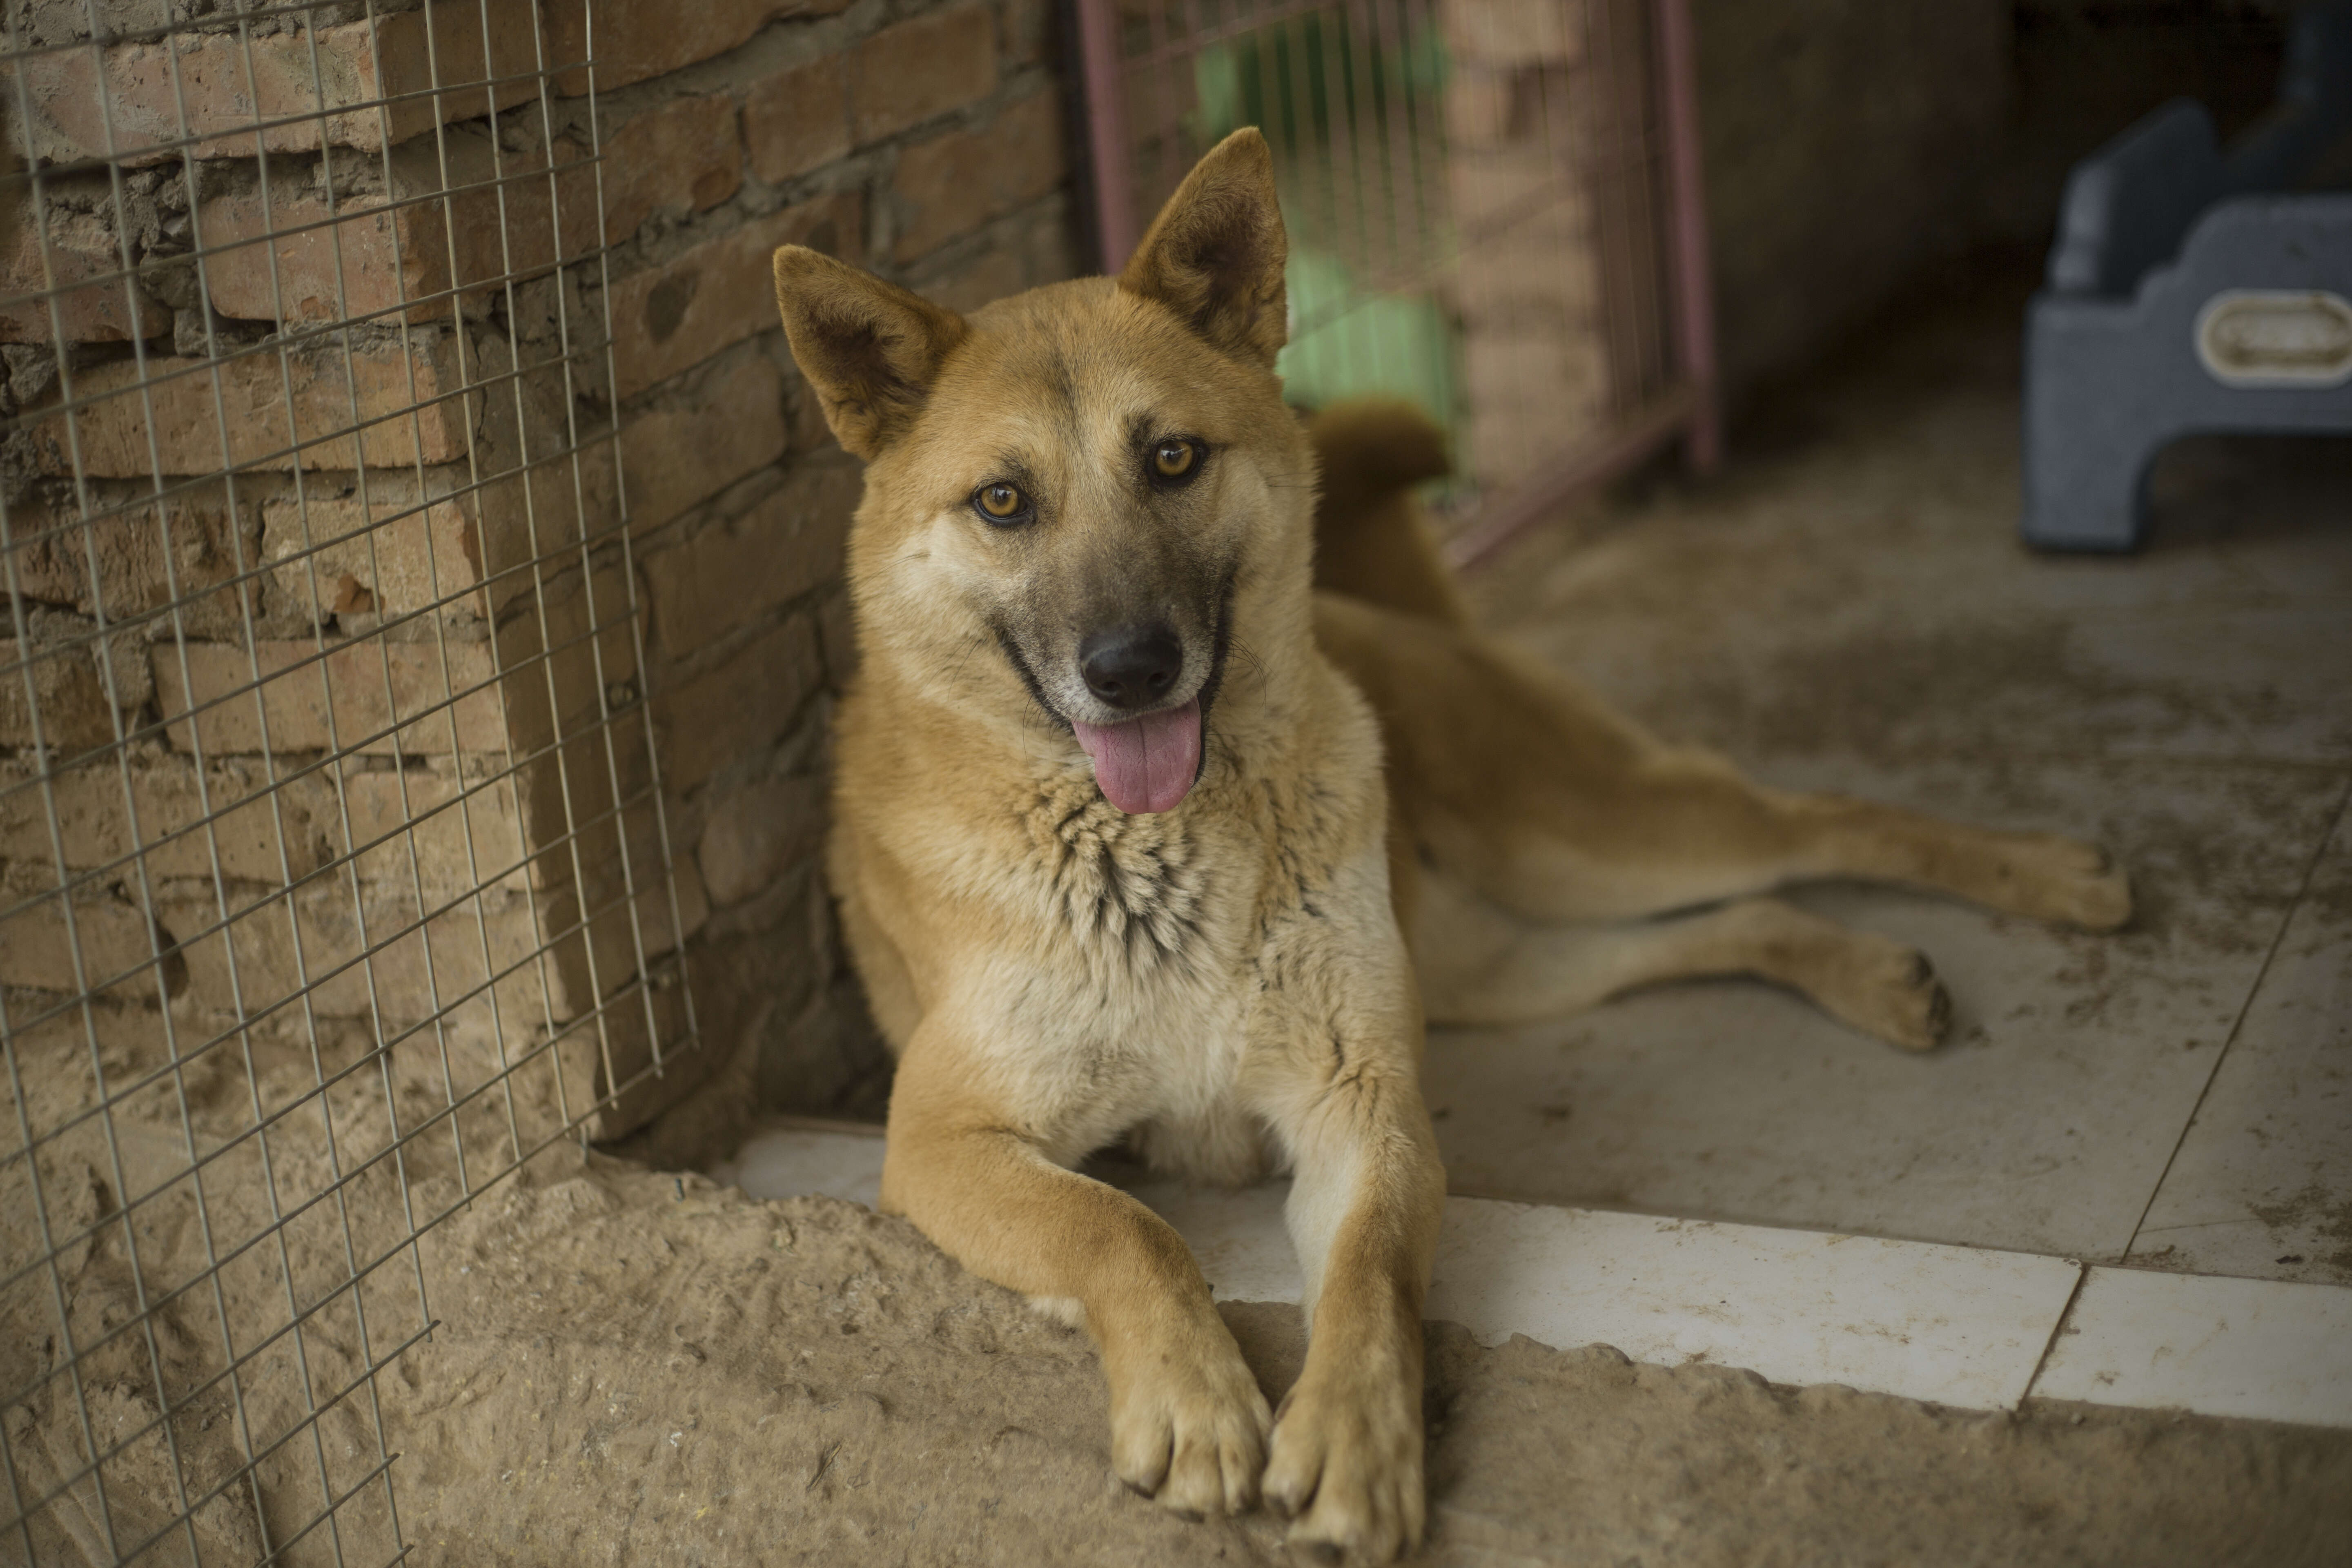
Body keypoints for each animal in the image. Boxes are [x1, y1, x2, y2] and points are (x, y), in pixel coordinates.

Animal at [771, 129, 2136, 1561]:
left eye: (1174, 459)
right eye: (1002, 500)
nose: (1133, 671)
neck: (1160, 849)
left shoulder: (1364, 1107)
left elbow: (1370, 1276)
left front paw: (1357, 1438)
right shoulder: (943, 1142)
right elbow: (1121, 1226)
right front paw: (1196, 1399)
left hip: (1585, 834)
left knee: (1809, 822)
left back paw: (2048, 873)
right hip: (1507, 958)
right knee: (1724, 921)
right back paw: (1868, 972)